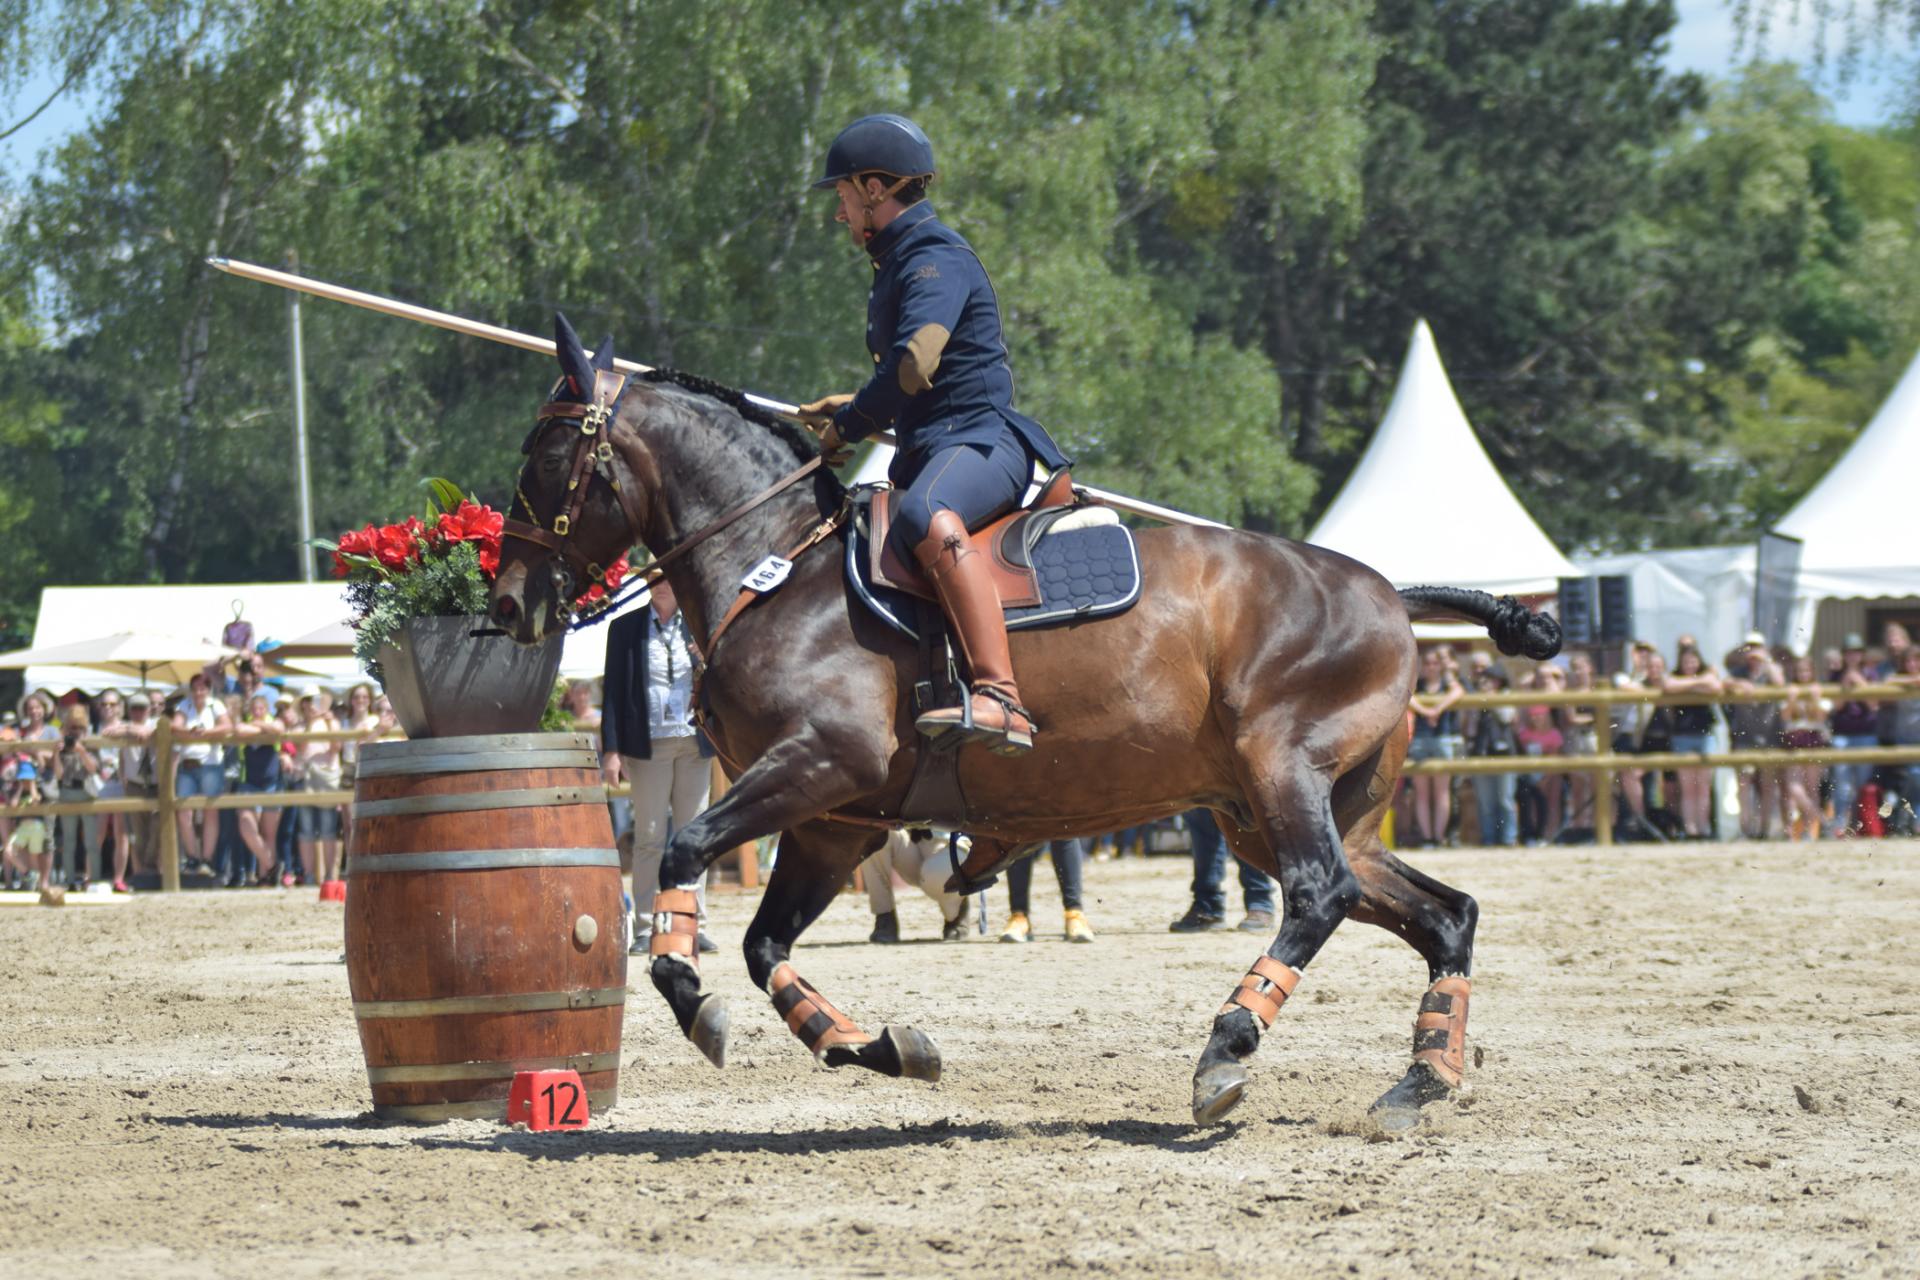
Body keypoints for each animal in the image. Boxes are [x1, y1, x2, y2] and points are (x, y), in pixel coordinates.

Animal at [487, 322, 1551, 1128]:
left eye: (543, 453)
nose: (506, 605)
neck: (777, 565)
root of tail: (1390, 593)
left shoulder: (817, 766)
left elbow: (680, 856)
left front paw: (688, 994)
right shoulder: (832, 822)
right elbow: (762, 946)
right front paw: (873, 1046)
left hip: (1280, 769)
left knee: (1319, 893)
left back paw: (1227, 1048)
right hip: (1283, 808)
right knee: (1442, 914)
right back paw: (1421, 1079)